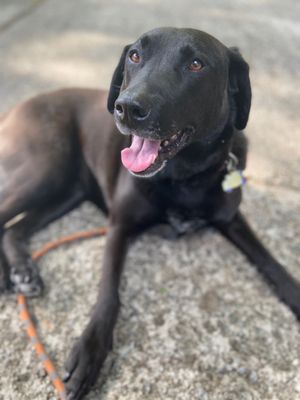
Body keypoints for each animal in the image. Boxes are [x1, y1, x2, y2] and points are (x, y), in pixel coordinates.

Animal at [0, 26, 300, 398]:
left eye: (197, 64)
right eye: (135, 56)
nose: (127, 108)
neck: (185, 178)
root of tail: (20, 105)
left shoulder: (231, 218)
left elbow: (271, 262)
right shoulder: (119, 225)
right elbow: (108, 292)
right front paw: (90, 351)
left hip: (66, 189)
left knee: (14, 228)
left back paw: (22, 273)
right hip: (44, 169)